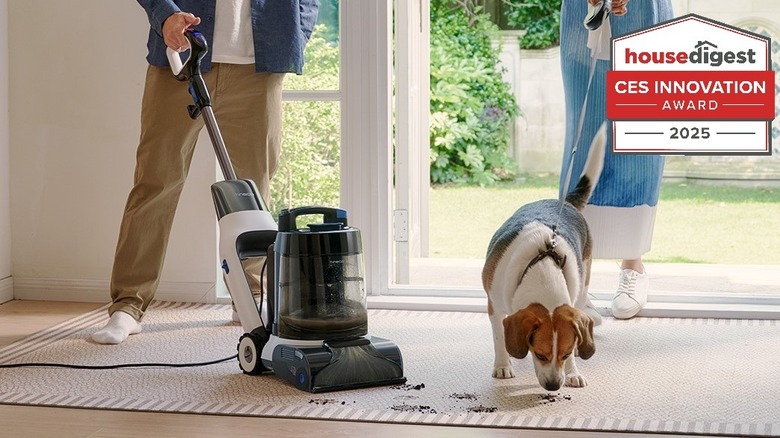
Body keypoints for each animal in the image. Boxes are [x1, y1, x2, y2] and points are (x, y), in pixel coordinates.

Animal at [484, 126, 608, 390]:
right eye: (540, 354)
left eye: (565, 353)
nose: (553, 385)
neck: (540, 268)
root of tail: (564, 202)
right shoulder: (494, 306)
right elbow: (499, 337)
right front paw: (502, 365)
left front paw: (573, 372)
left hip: (583, 285)